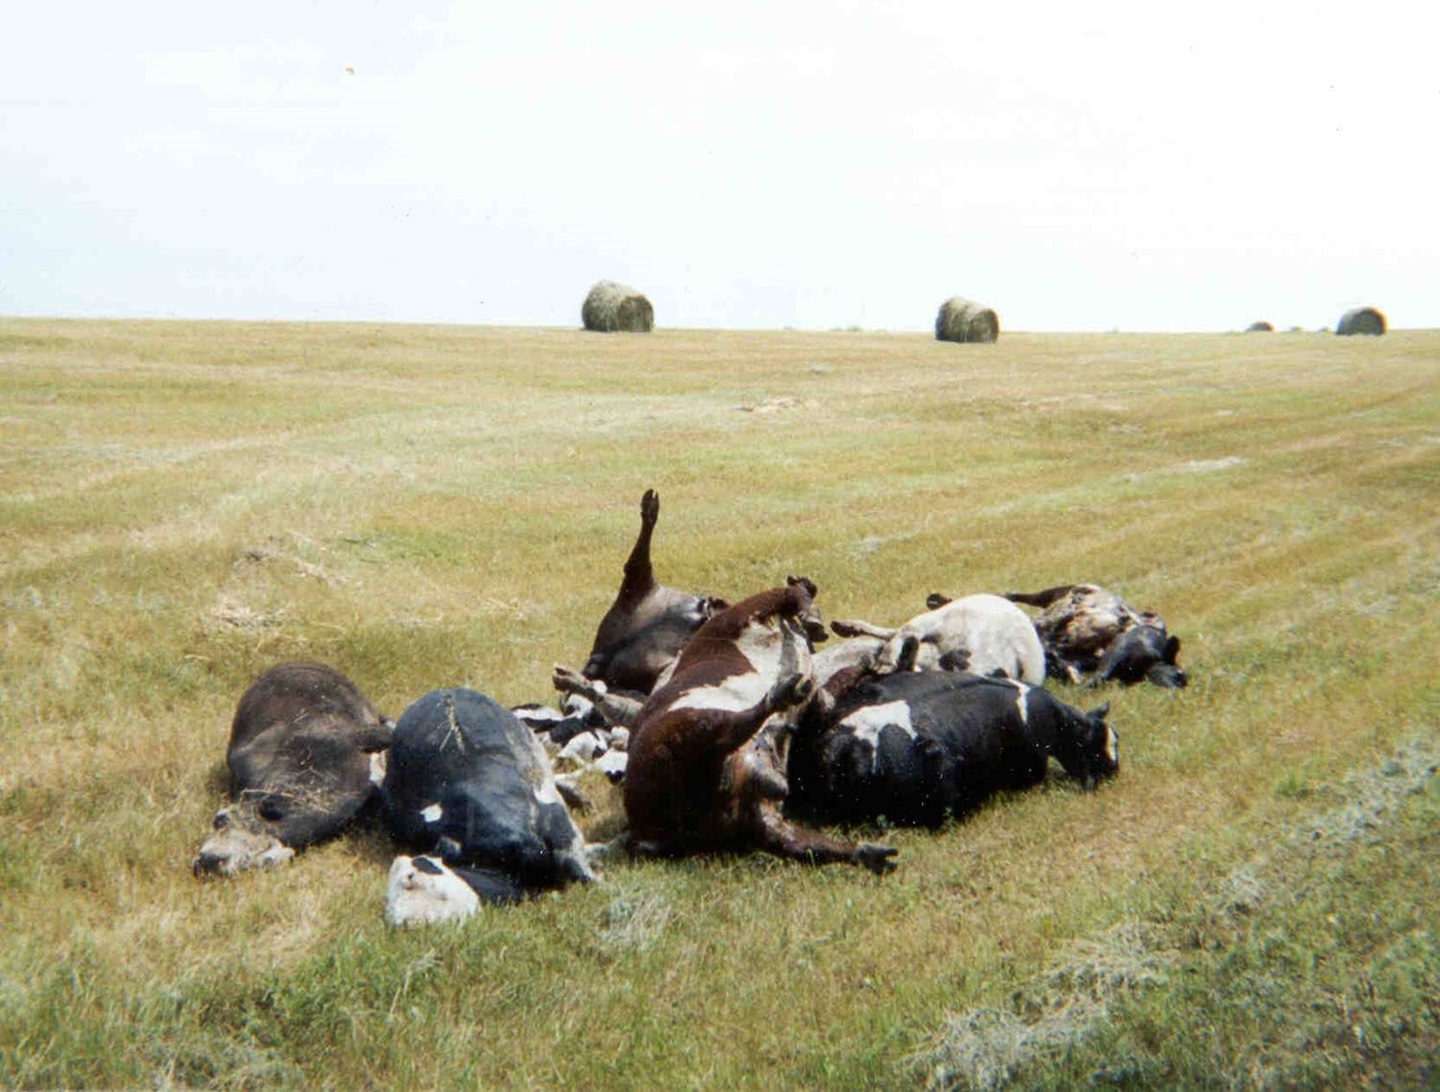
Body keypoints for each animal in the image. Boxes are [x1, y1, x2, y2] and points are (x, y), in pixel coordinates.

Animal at [622, 577, 897, 874]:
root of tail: (643, 836)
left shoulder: (820, 701)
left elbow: (832, 688)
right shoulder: (743, 613)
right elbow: (789, 593)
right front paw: (812, 617)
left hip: (753, 814)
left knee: (799, 844)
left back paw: (870, 853)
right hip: (685, 730)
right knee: (731, 727)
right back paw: (779, 695)